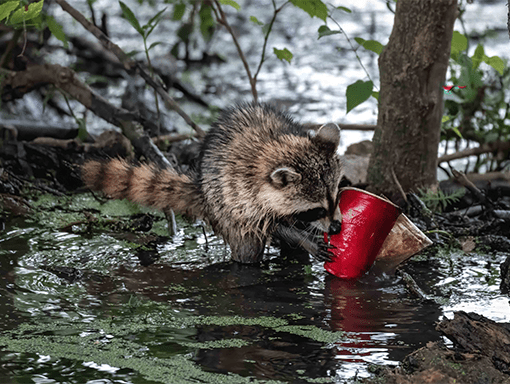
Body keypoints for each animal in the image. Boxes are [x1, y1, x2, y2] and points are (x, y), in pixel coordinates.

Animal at [82, 103, 342, 264]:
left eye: (336, 197)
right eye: (316, 209)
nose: (337, 227)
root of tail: (202, 188)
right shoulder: (242, 195)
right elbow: (266, 225)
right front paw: (305, 239)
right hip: (220, 205)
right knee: (246, 250)